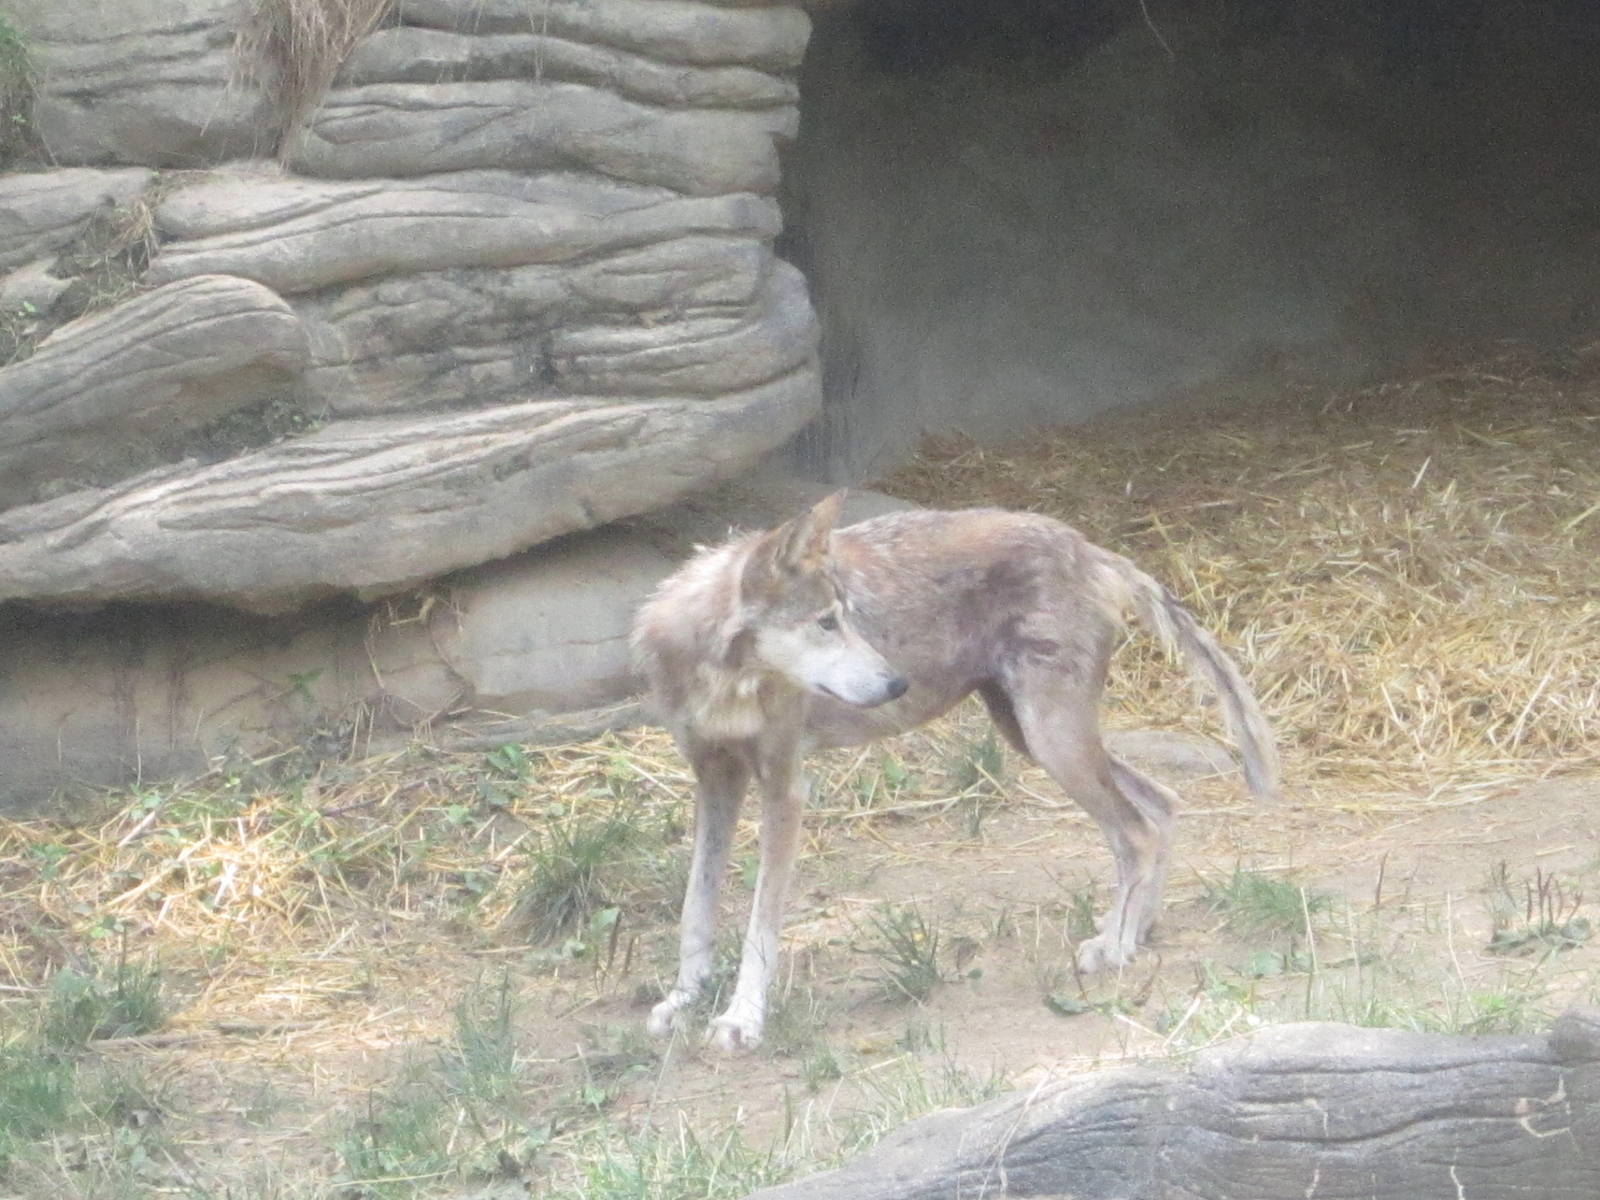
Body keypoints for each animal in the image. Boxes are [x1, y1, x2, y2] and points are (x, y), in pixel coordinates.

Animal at [631, 493, 1279, 1051]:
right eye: (825, 623)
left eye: (845, 617)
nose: (896, 683)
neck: (720, 677)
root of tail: (1085, 544)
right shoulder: (714, 777)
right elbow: (696, 909)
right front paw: (684, 1002)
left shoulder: (785, 787)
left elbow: (759, 928)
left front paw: (742, 1020)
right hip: (1031, 738)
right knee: (1162, 804)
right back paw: (1136, 933)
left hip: (1052, 742)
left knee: (1136, 832)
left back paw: (1117, 949)